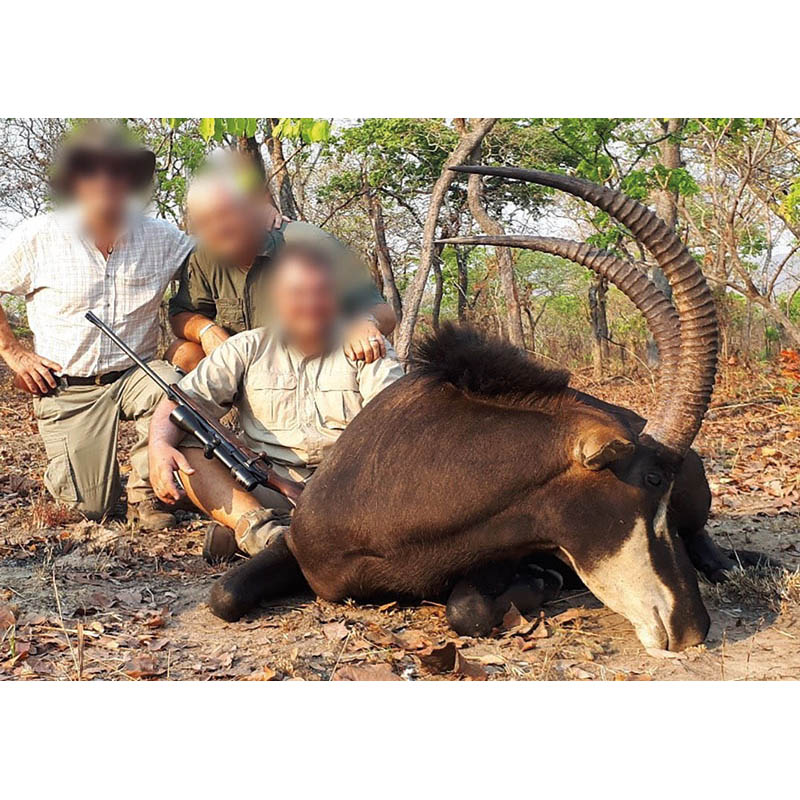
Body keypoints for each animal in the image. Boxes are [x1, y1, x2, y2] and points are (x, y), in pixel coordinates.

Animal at [209, 166, 760, 652]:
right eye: (650, 480)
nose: (692, 628)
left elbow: (467, 610)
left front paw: (542, 580)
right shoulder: (297, 546)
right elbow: (223, 595)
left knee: (710, 544)